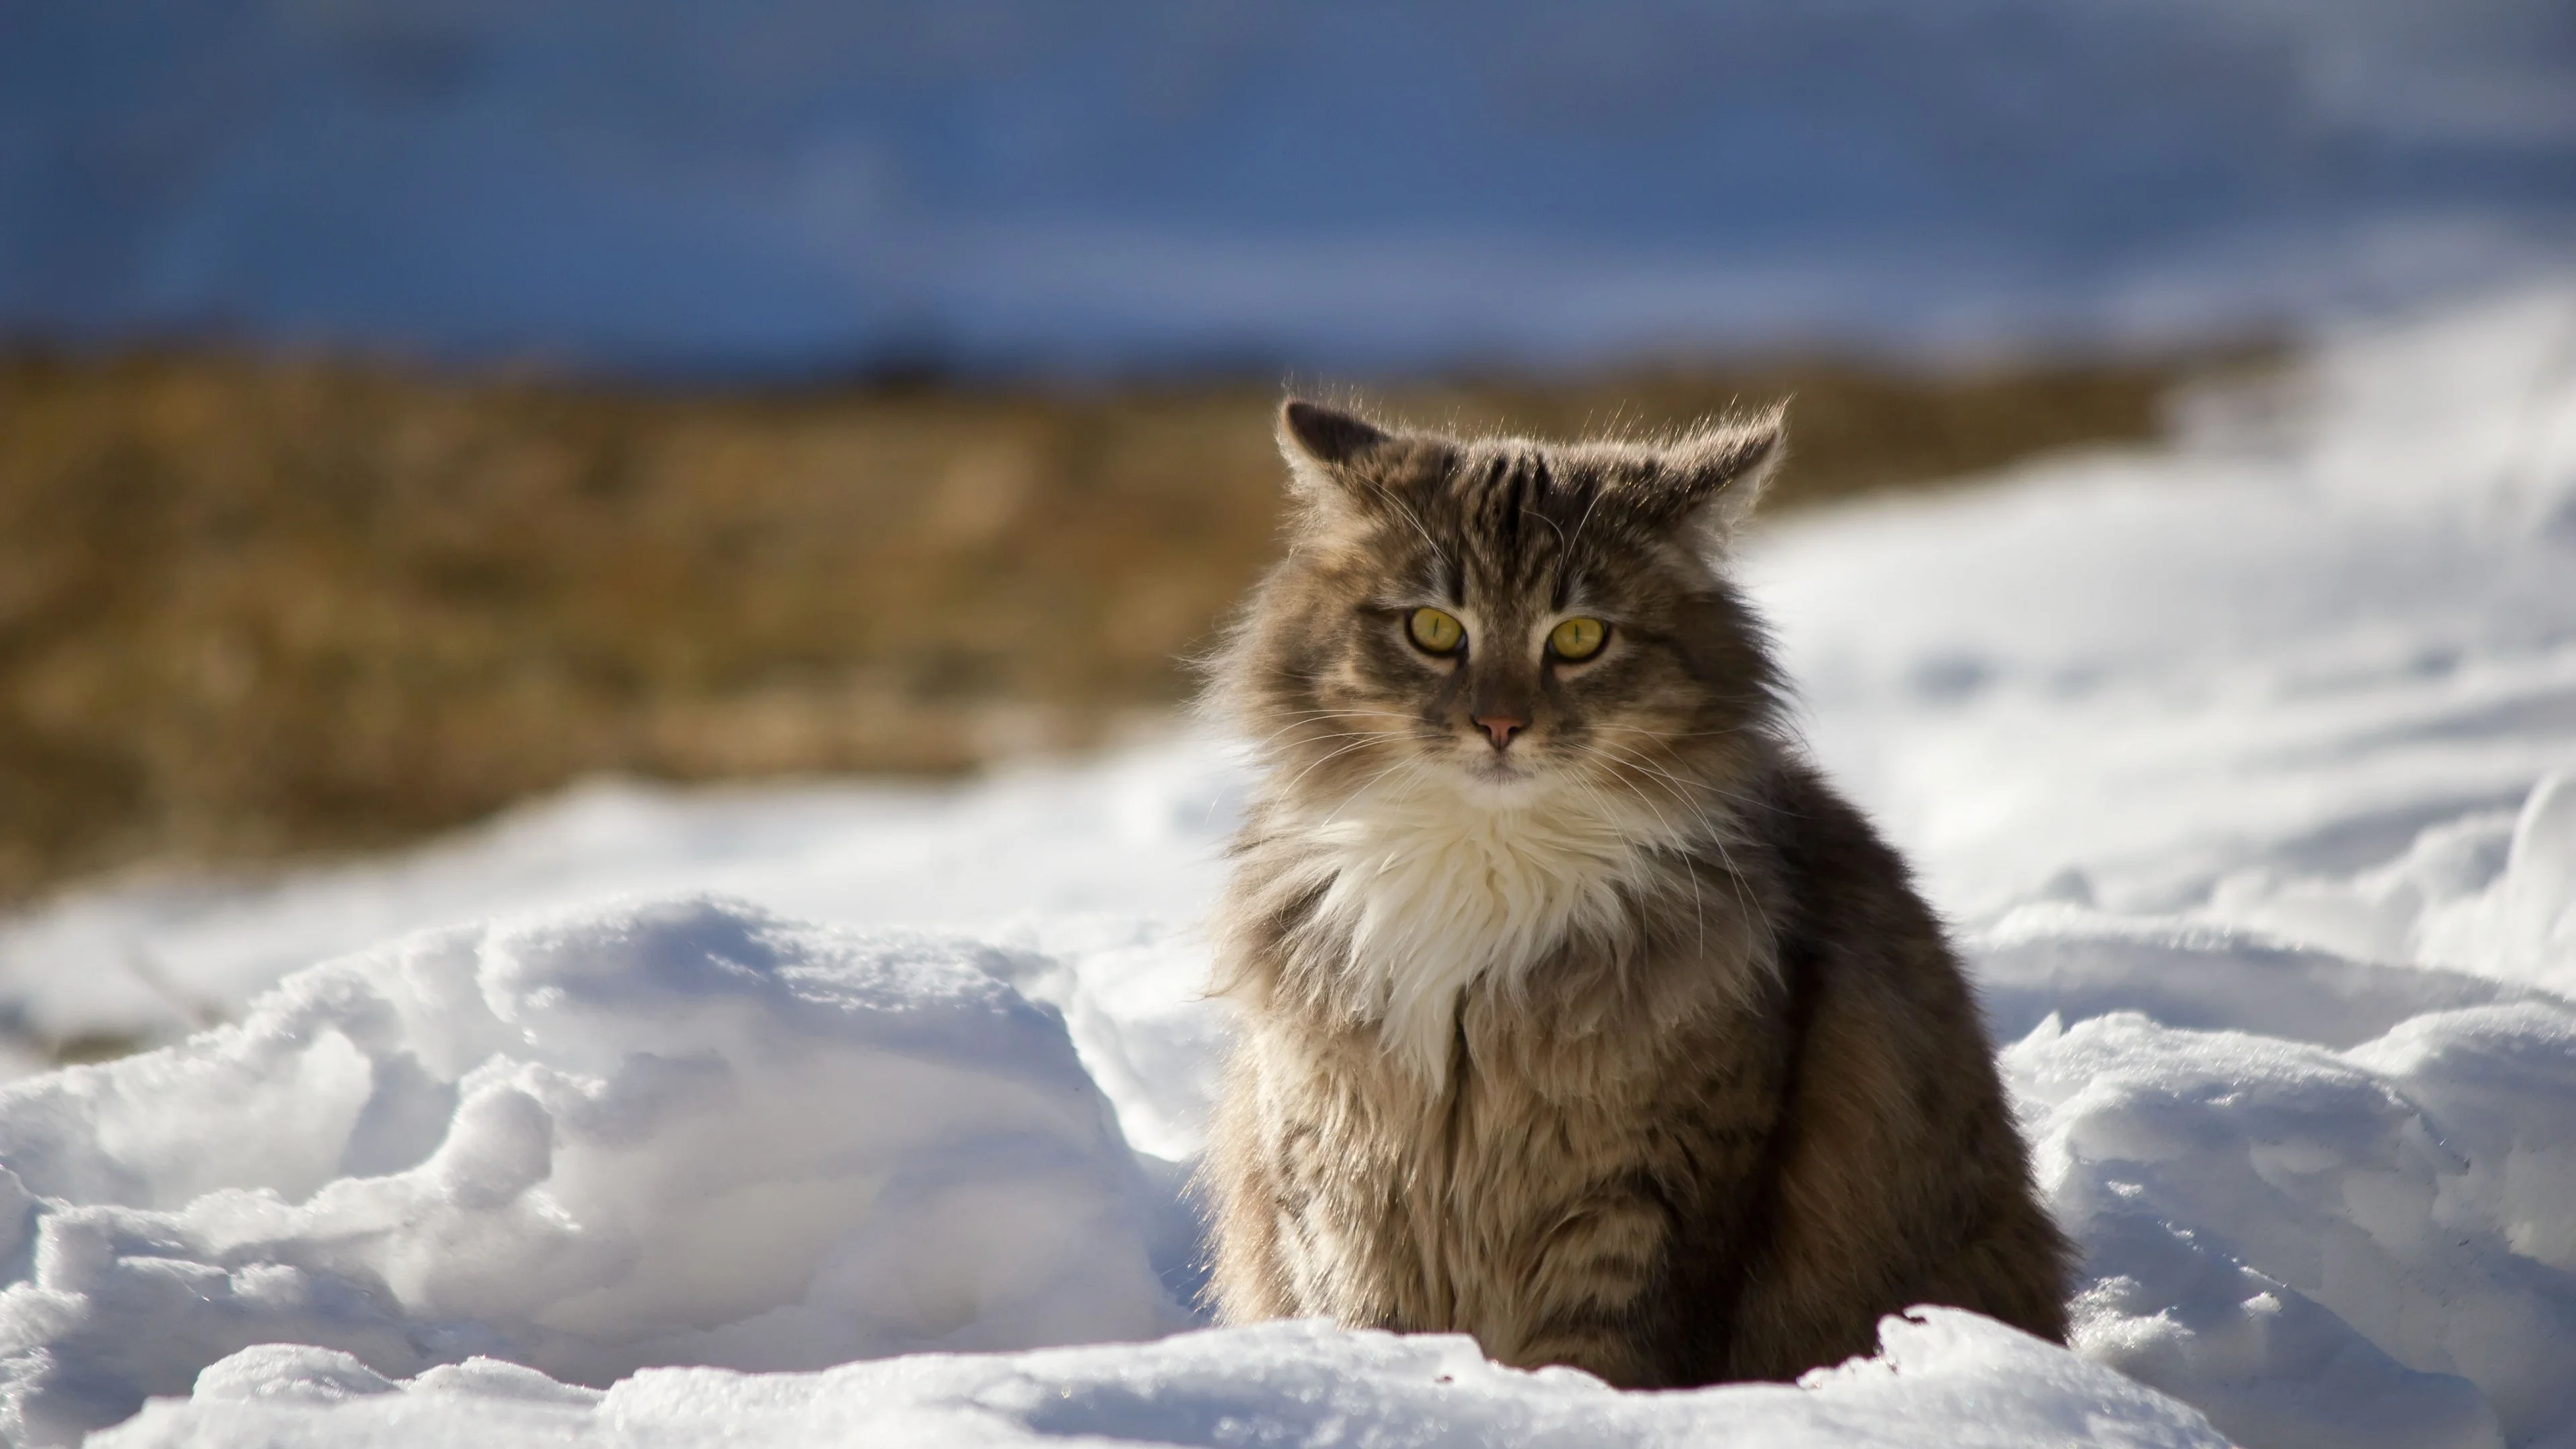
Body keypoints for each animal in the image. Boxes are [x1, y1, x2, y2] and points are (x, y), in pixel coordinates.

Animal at [1190, 396, 2071, 1392]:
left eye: (1579, 638)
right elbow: (1372, 1325)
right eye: (1434, 631)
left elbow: (1599, 1361)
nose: (1500, 724)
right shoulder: (1341, 1181)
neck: (1487, 867)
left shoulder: (1648, 1198)